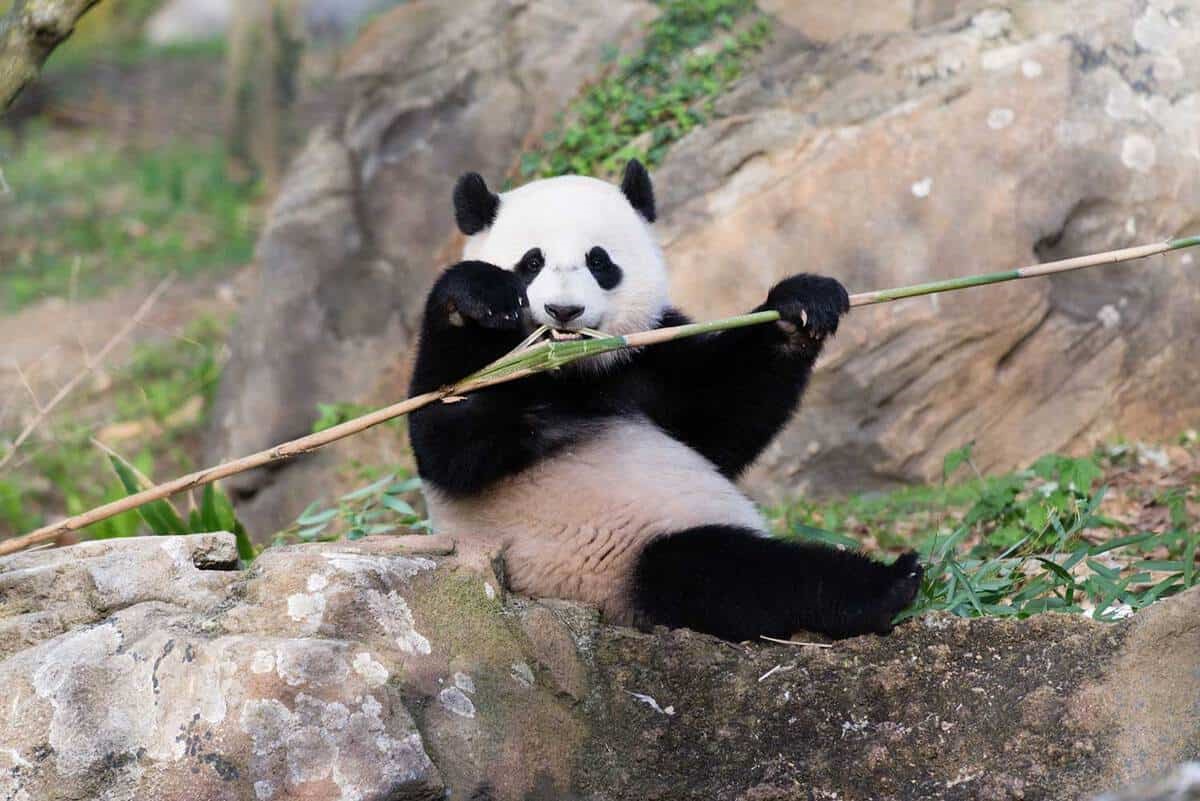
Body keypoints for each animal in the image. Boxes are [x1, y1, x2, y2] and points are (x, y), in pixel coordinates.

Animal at [408, 159, 921, 642]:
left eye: (599, 262)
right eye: (531, 262)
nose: (563, 311)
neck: (575, 367)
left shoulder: (650, 355)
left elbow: (722, 416)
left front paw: (801, 305)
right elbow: (451, 436)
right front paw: (476, 299)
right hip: (611, 561)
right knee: (727, 574)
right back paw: (886, 585)